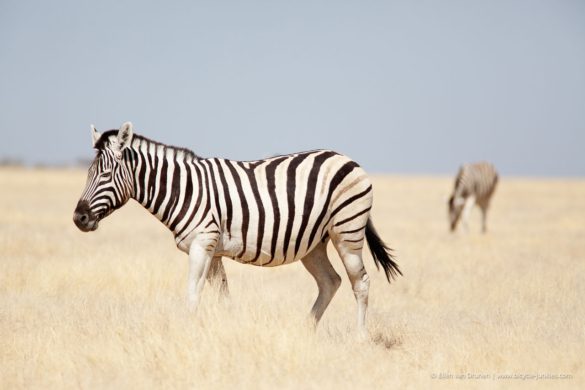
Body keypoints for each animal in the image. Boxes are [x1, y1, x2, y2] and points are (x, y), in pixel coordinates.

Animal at [74, 122, 402, 336]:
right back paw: (304, 330)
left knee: (360, 282)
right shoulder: (214, 251)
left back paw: (359, 338)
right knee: (330, 281)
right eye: (88, 173)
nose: (79, 218)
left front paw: (187, 333)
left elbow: (192, 294)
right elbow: (222, 296)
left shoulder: (202, 244)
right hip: (313, 243)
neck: (184, 189)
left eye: (105, 174)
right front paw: (227, 329)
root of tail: (346, 158)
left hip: (347, 231)